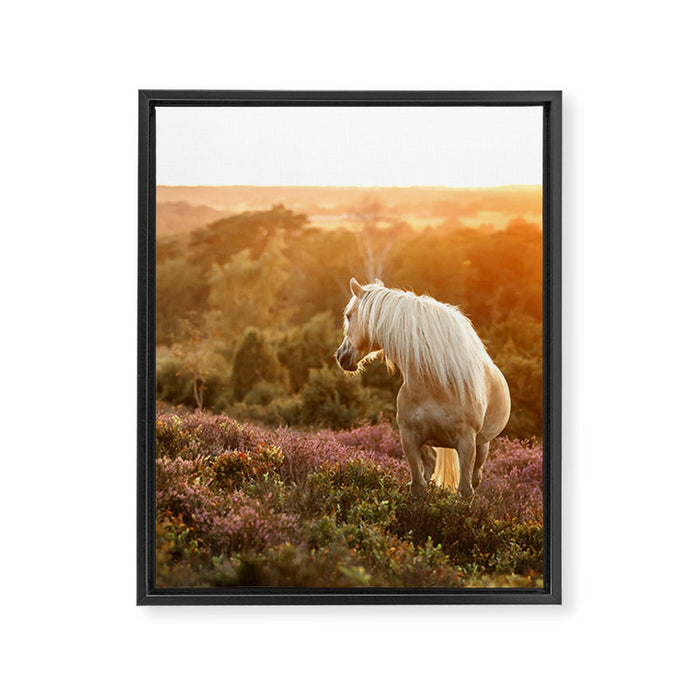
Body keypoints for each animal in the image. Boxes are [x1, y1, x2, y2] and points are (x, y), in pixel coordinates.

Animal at [335, 278, 511, 503]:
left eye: (349, 316)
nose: (341, 356)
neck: (435, 384)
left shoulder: (466, 442)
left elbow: (465, 490)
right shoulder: (409, 438)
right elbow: (418, 486)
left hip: (482, 445)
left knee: (475, 476)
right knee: (430, 464)